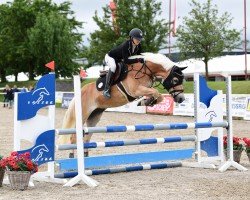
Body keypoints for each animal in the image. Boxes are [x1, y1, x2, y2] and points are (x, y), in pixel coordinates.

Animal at [58, 52, 187, 157]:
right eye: (175, 80)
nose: (181, 99)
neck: (145, 70)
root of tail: (81, 91)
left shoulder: (144, 90)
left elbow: (158, 96)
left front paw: (147, 102)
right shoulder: (136, 90)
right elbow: (156, 92)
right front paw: (146, 101)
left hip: (94, 116)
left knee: (87, 138)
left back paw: (86, 158)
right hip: (83, 115)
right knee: (73, 137)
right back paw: (71, 157)